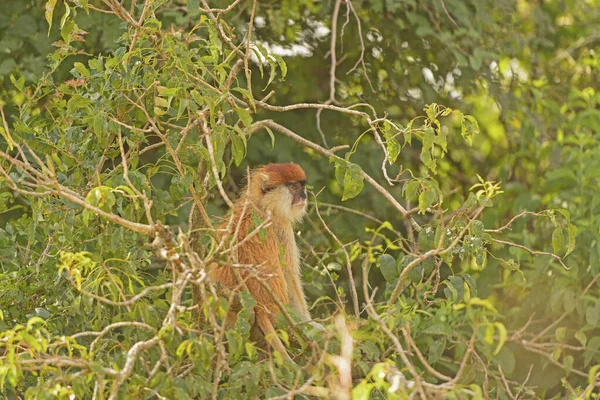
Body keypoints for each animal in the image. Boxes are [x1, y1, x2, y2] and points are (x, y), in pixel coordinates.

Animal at [210, 162, 314, 360]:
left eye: (302, 186)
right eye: (294, 187)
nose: (304, 196)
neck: (261, 204)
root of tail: (258, 306)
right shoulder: (281, 229)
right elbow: (290, 278)